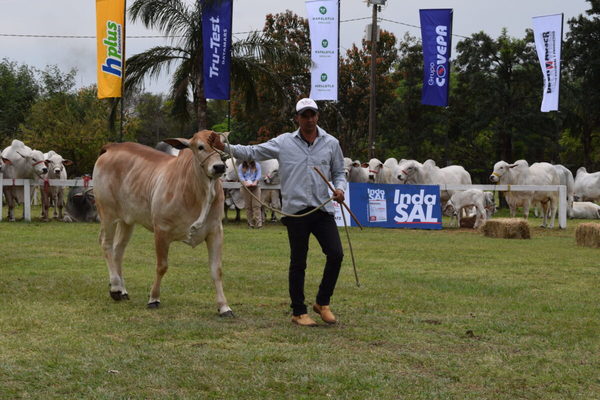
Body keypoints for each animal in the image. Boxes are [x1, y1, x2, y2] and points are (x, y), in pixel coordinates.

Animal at [92, 128, 233, 316]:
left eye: (222, 146)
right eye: (200, 147)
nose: (219, 167)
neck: (198, 192)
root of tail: (112, 147)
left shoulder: (215, 231)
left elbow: (216, 270)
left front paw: (224, 306)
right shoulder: (161, 230)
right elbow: (162, 266)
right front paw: (153, 298)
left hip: (127, 219)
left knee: (118, 250)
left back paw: (122, 290)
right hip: (108, 213)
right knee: (106, 244)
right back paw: (115, 288)